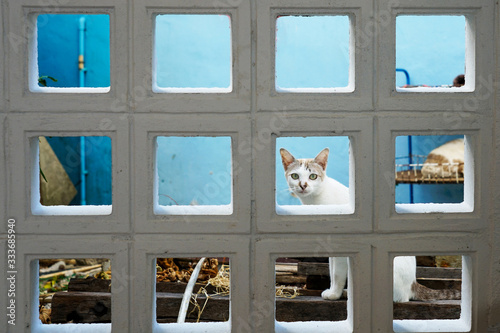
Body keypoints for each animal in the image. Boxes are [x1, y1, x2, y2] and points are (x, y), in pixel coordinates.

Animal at [280, 148, 458, 300]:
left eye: (312, 177)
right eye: (295, 176)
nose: (303, 185)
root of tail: (412, 283)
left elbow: (337, 274)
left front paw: (334, 294)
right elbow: (331, 271)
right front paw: (333, 291)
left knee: (400, 298)